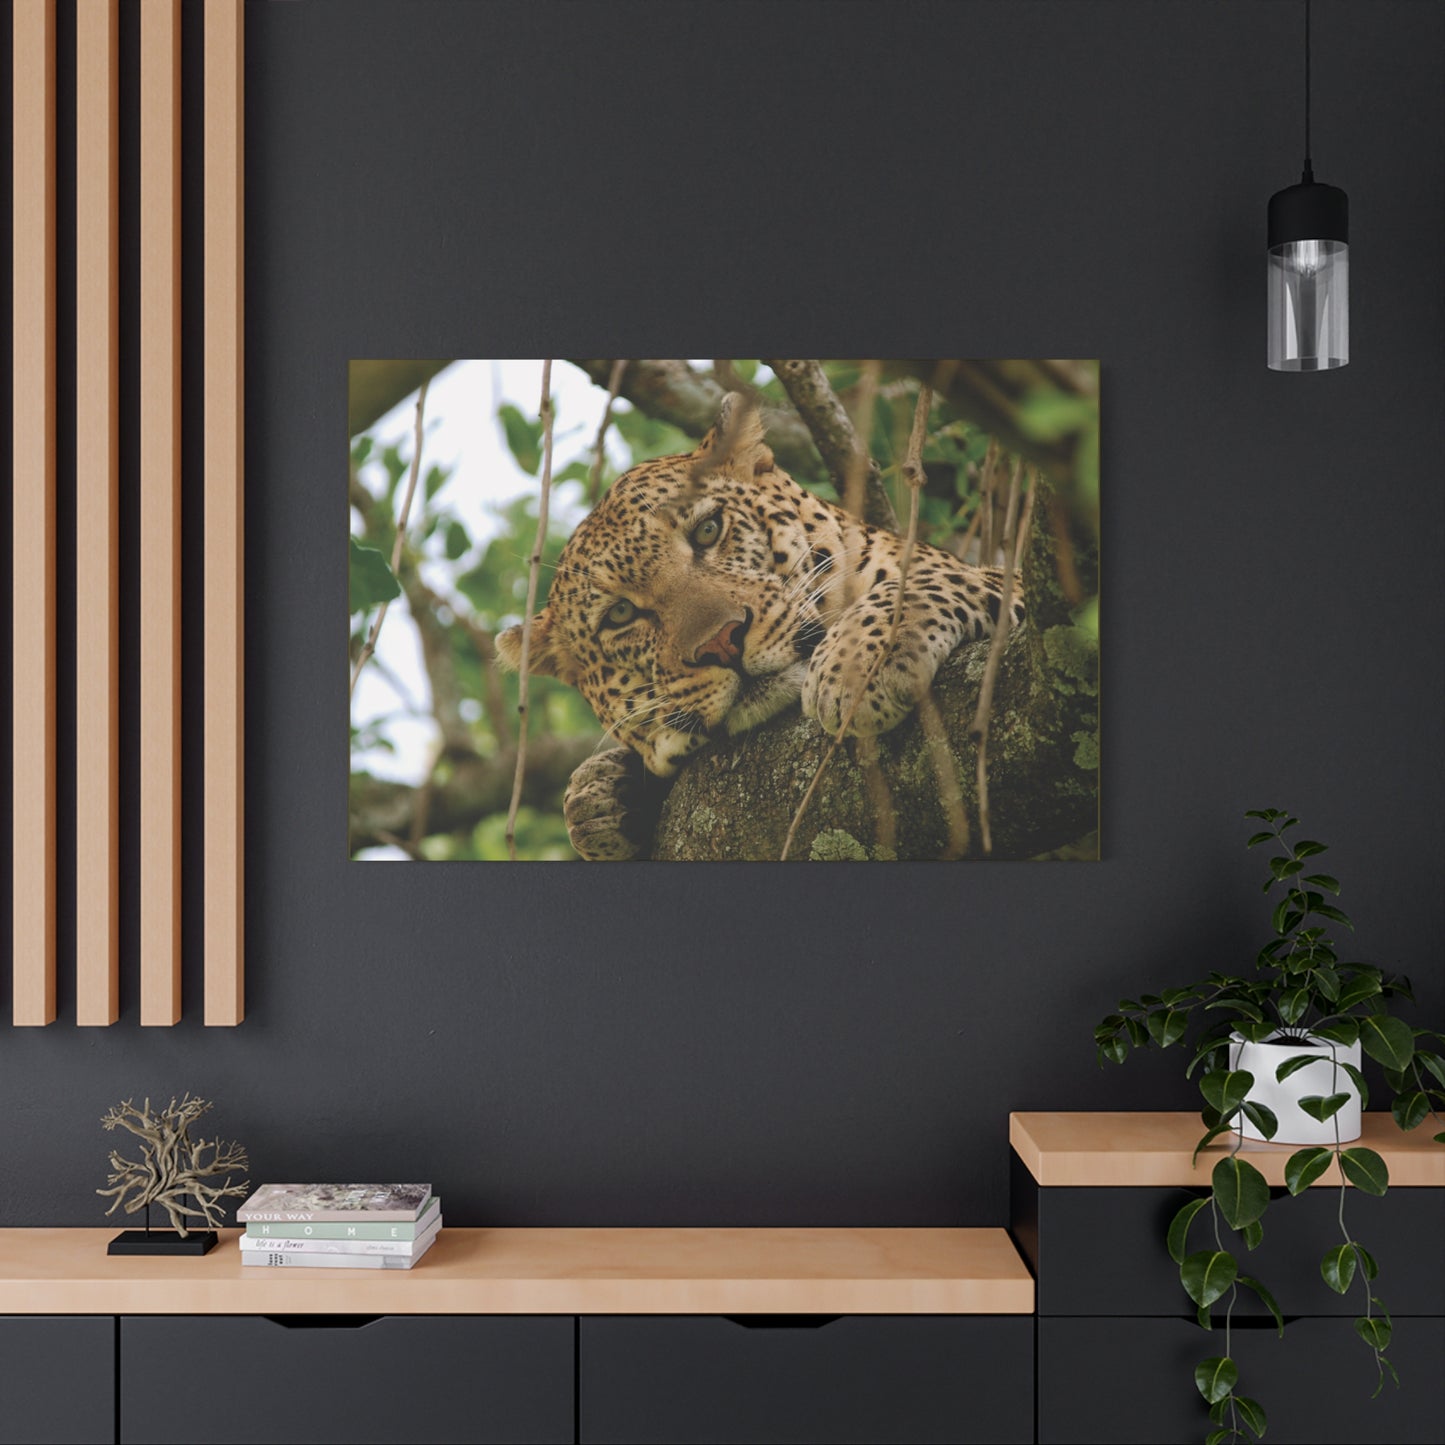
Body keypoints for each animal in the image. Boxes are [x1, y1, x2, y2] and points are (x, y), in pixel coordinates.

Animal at [496, 395, 1024, 860]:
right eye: (620, 615)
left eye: (708, 530)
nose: (722, 643)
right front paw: (601, 798)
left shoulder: (1014, 582)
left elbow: (926, 579)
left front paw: (856, 666)